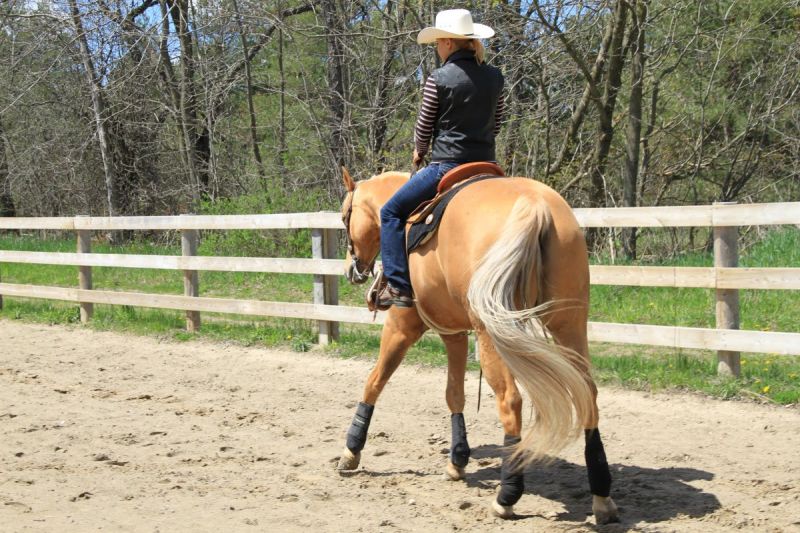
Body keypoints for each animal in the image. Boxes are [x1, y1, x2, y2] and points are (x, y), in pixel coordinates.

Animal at [335, 167, 618, 523]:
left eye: (344, 216)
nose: (352, 268)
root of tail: (535, 205)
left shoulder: (402, 325)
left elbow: (374, 381)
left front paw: (351, 450)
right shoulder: (454, 333)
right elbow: (454, 394)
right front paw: (457, 460)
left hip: (492, 334)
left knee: (511, 400)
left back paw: (507, 496)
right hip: (569, 324)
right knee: (587, 395)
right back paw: (602, 496)